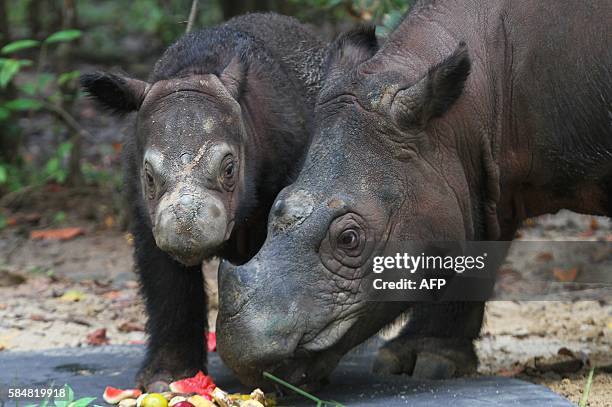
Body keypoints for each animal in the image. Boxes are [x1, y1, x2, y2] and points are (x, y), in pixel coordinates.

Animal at [83, 11, 328, 388]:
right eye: (148, 177)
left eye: (229, 169)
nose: (186, 228)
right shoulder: (146, 217)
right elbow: (166, 285)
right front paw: (166, 379)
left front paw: (279, 372)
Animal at [216, 0, 612, 388]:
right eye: (276, 208)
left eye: (349, 239)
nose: (243, 358)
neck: (461, 118)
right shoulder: (479, 176)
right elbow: (473, 248)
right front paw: (425, 359)